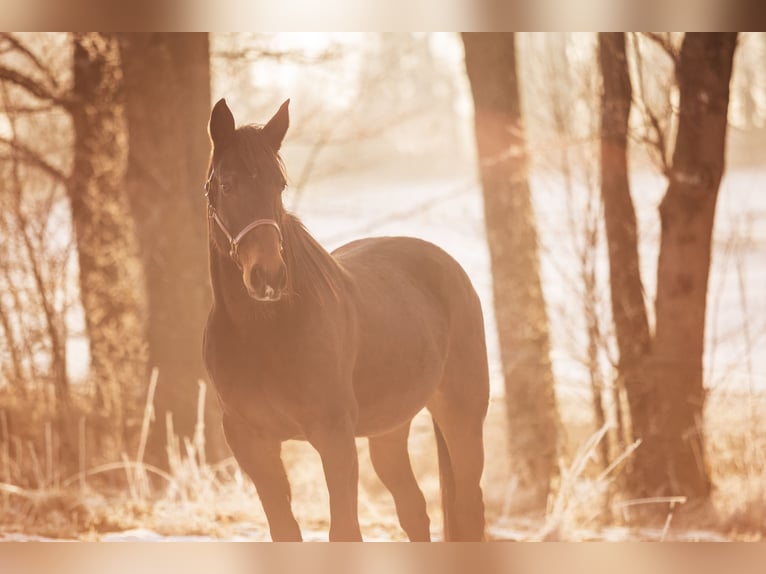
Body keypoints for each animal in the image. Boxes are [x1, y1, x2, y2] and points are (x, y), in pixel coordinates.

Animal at [202, 98, 490, 541]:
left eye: (278, 185)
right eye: (227, 184)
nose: (269, 277)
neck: (263, 333)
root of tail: (448, 266)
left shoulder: (334, 437)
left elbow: (344, 530)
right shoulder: (251, 442)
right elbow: (285, 531)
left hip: (463, 416)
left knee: (469, 509)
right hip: (389, 432)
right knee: (414, 510)